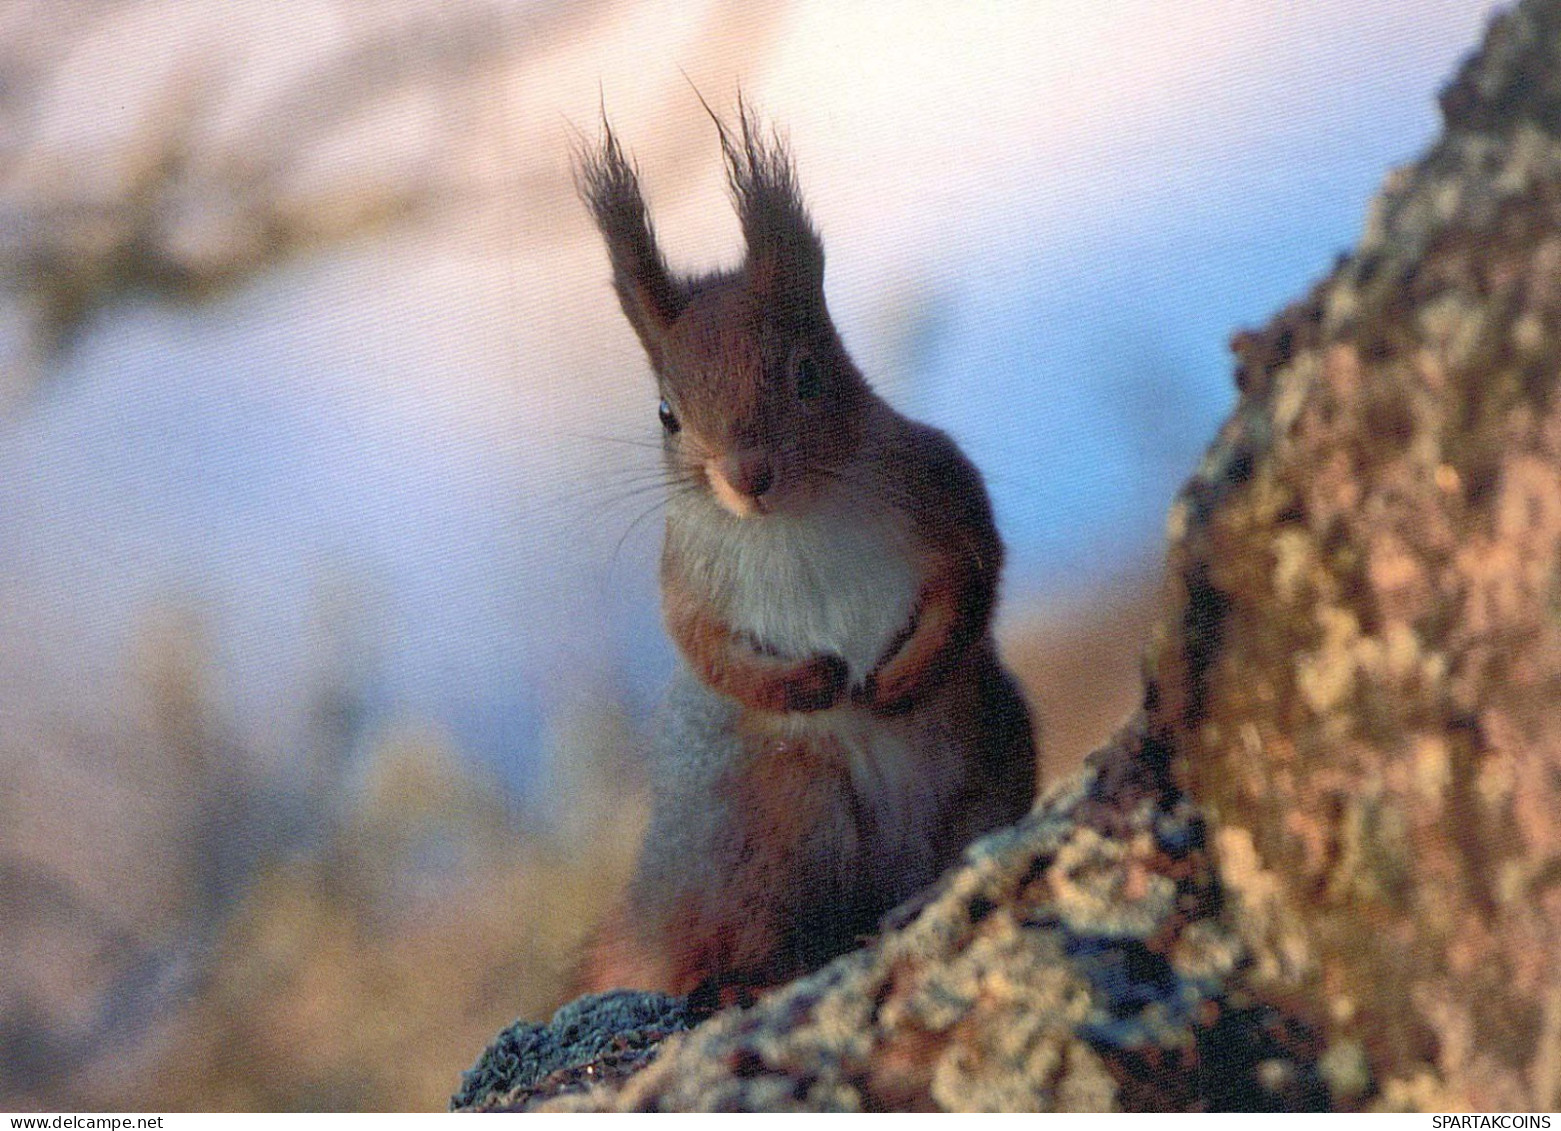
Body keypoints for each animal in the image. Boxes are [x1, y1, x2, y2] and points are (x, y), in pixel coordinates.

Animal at [574, 103, 1036, 1004]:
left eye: (807, 375)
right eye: (665, 414)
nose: (747, 475)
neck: (788, 521)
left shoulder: (939, 490)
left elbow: (971, 580)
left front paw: (901, 678)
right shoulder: (687, 576)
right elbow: (704, 647)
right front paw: (807, 682)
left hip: (987, 767)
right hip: (779, 823)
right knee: (737, 944)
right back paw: (750, 978)